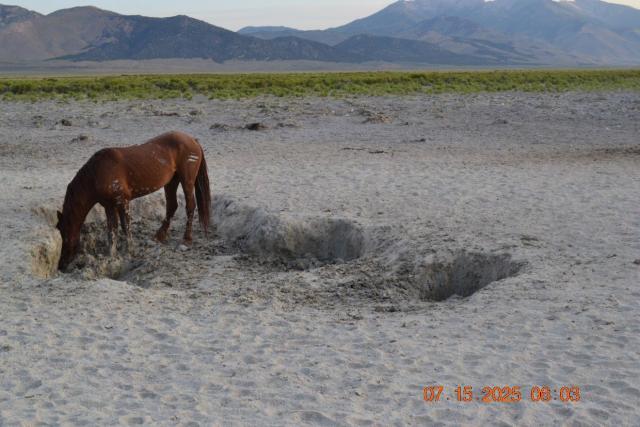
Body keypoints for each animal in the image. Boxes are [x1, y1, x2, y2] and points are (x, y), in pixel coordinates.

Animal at [56, 131, 211, 271]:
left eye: (64, 236)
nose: (61, 265)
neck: (97, 173)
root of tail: (192, 140)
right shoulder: (109, 206)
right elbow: (112, 230)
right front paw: (111, 255)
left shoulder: (123, 202)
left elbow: (126, 227)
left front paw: (130, 251)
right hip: (171, 181)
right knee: (172, 206)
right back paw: (159, 236)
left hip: (187, 180)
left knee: (190, 206)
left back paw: (187, 238)